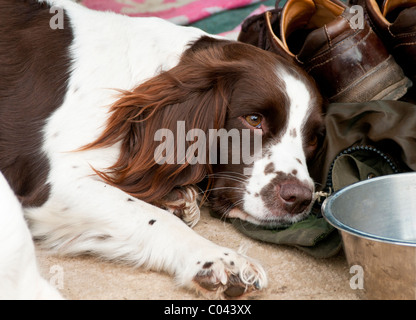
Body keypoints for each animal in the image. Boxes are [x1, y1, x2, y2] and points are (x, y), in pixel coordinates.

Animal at [0, 0, 324, 300]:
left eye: (313, 138)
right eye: (254, 120)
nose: (299, 199)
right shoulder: (56, 184)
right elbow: (153, 219)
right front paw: (216, 259)